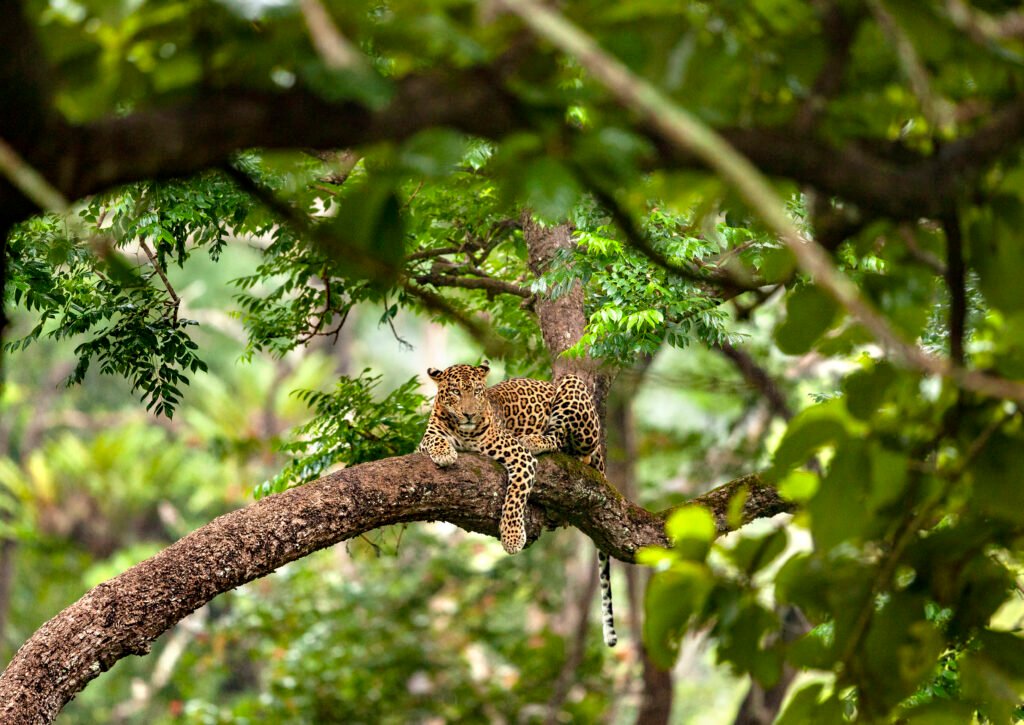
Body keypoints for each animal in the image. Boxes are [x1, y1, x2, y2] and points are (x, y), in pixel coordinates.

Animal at [415, 360, 614, 647]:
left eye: (477, 392)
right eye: (454, 392)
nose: (469, 414)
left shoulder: (521, 459)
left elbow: (515, 498)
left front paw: (511, 537)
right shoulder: (424, 442)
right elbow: (433, 439)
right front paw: (444, 453)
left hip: (574, 393)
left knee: (567, 442)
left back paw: (536, 439)